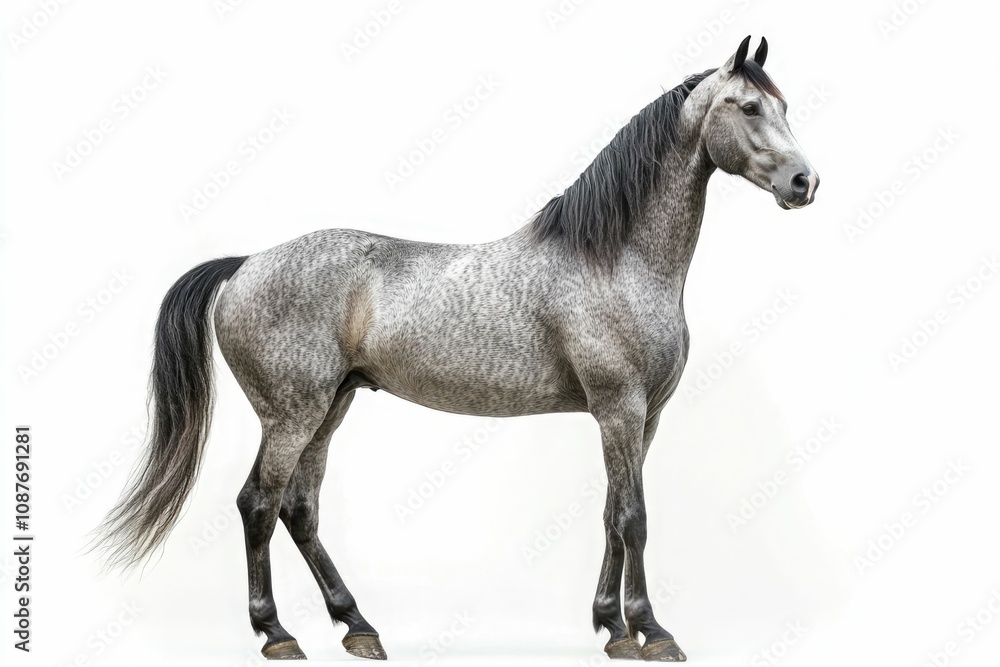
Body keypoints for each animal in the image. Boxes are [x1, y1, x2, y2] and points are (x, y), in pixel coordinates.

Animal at [98, 35, 818, 662]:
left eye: (784, 106)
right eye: (748, 107)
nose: (804, 182)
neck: (614, 259)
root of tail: (245, 264)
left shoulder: (646, 416)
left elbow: (612, 513)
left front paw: (612, 627)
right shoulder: (620, 408)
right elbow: (633, 515)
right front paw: (652, 632)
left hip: (329, 408)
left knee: (299, 509)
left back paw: (358, 626)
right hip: (290, 414)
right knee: (258, 504)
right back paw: (278, 634)